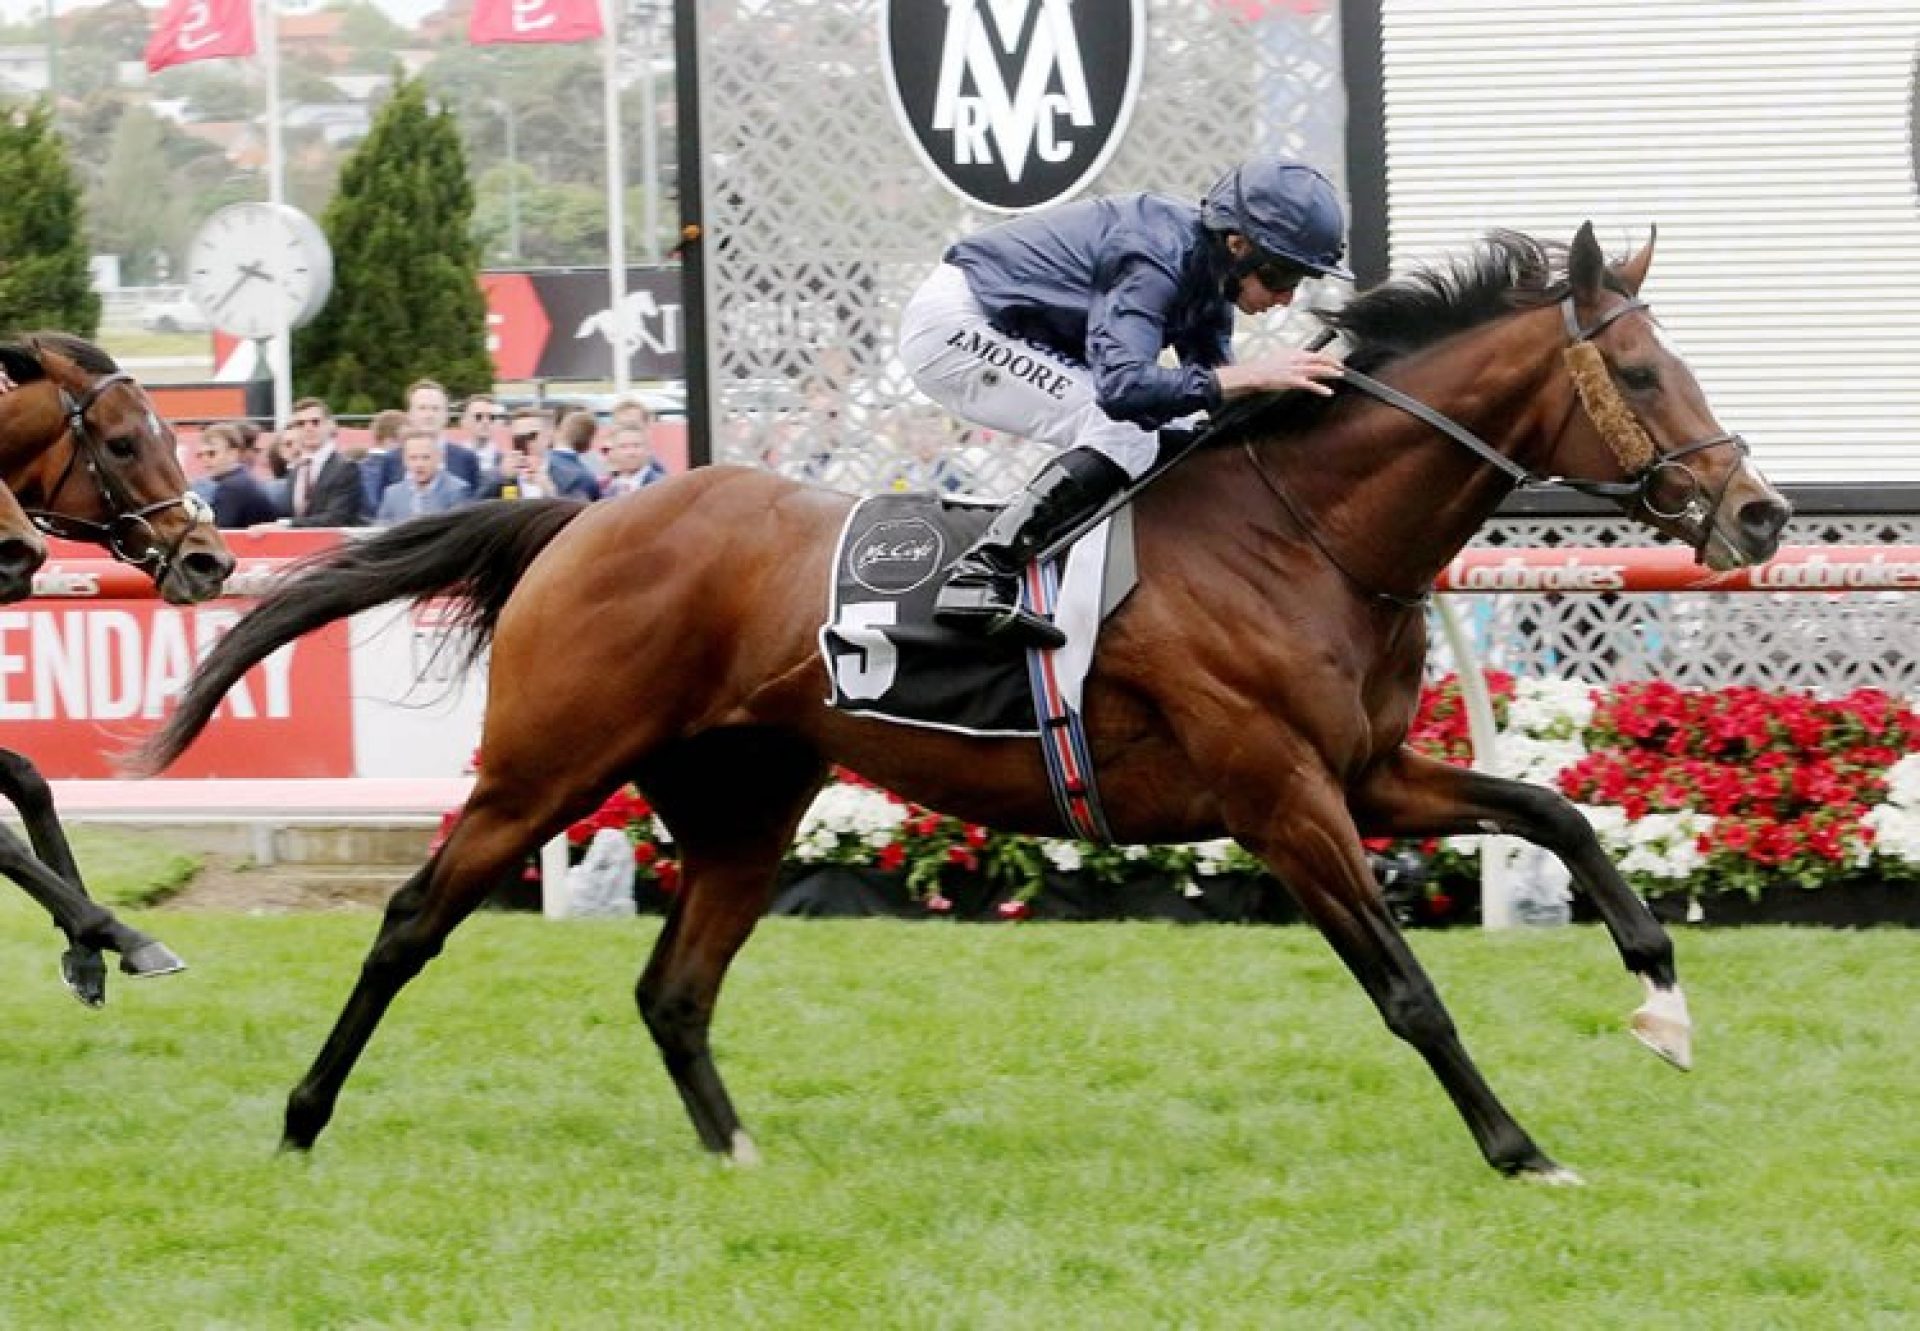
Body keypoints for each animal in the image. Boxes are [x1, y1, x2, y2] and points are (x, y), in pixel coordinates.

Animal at [139, 225, 1797, 1175]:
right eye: (1643, 370)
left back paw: (741, 1155)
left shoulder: (1370, 773)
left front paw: (1661, 998)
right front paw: (1520, 1145)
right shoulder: (1281, 797)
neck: (1302, 530)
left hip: (745, 800)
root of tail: (585, 513)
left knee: (674, 986)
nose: (1763, 514)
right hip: (546, 764)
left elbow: (1556, 810)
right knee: (413, 916)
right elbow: (1407, 987)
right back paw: (300, 1117)